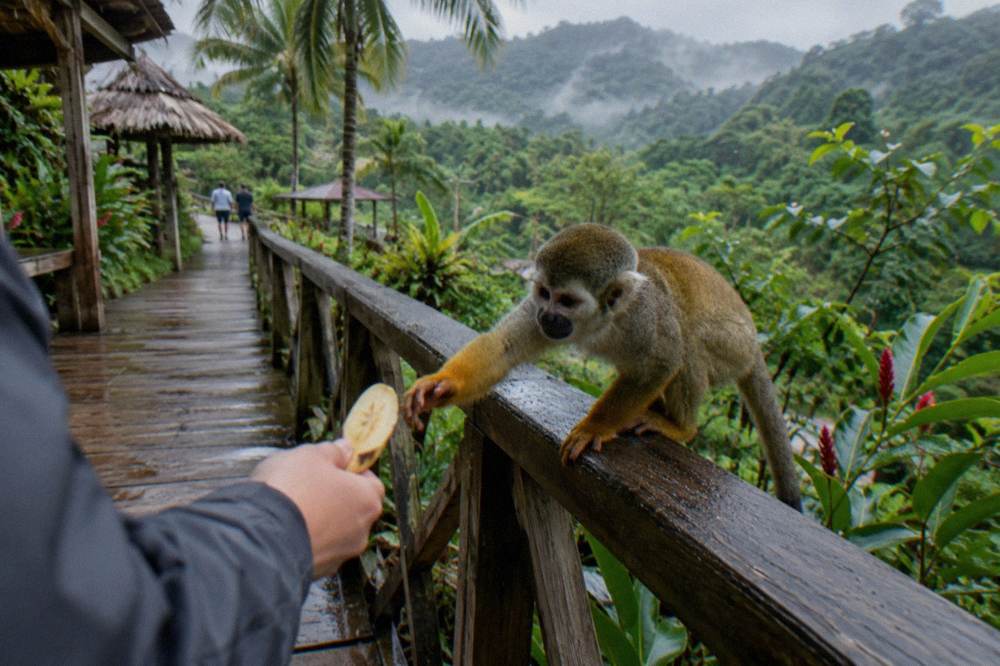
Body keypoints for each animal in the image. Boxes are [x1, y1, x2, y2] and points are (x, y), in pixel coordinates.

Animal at [403, 223, 802, 510]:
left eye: (567, 300)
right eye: (544, 293)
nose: (547, 317)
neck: (601, 323)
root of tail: (754, 343)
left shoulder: (645, 317)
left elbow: (664, 361)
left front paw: (595, 426)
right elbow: (504, 347)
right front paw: (441, 385)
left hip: (731, 346)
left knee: (688, 345)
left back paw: (680, 427)